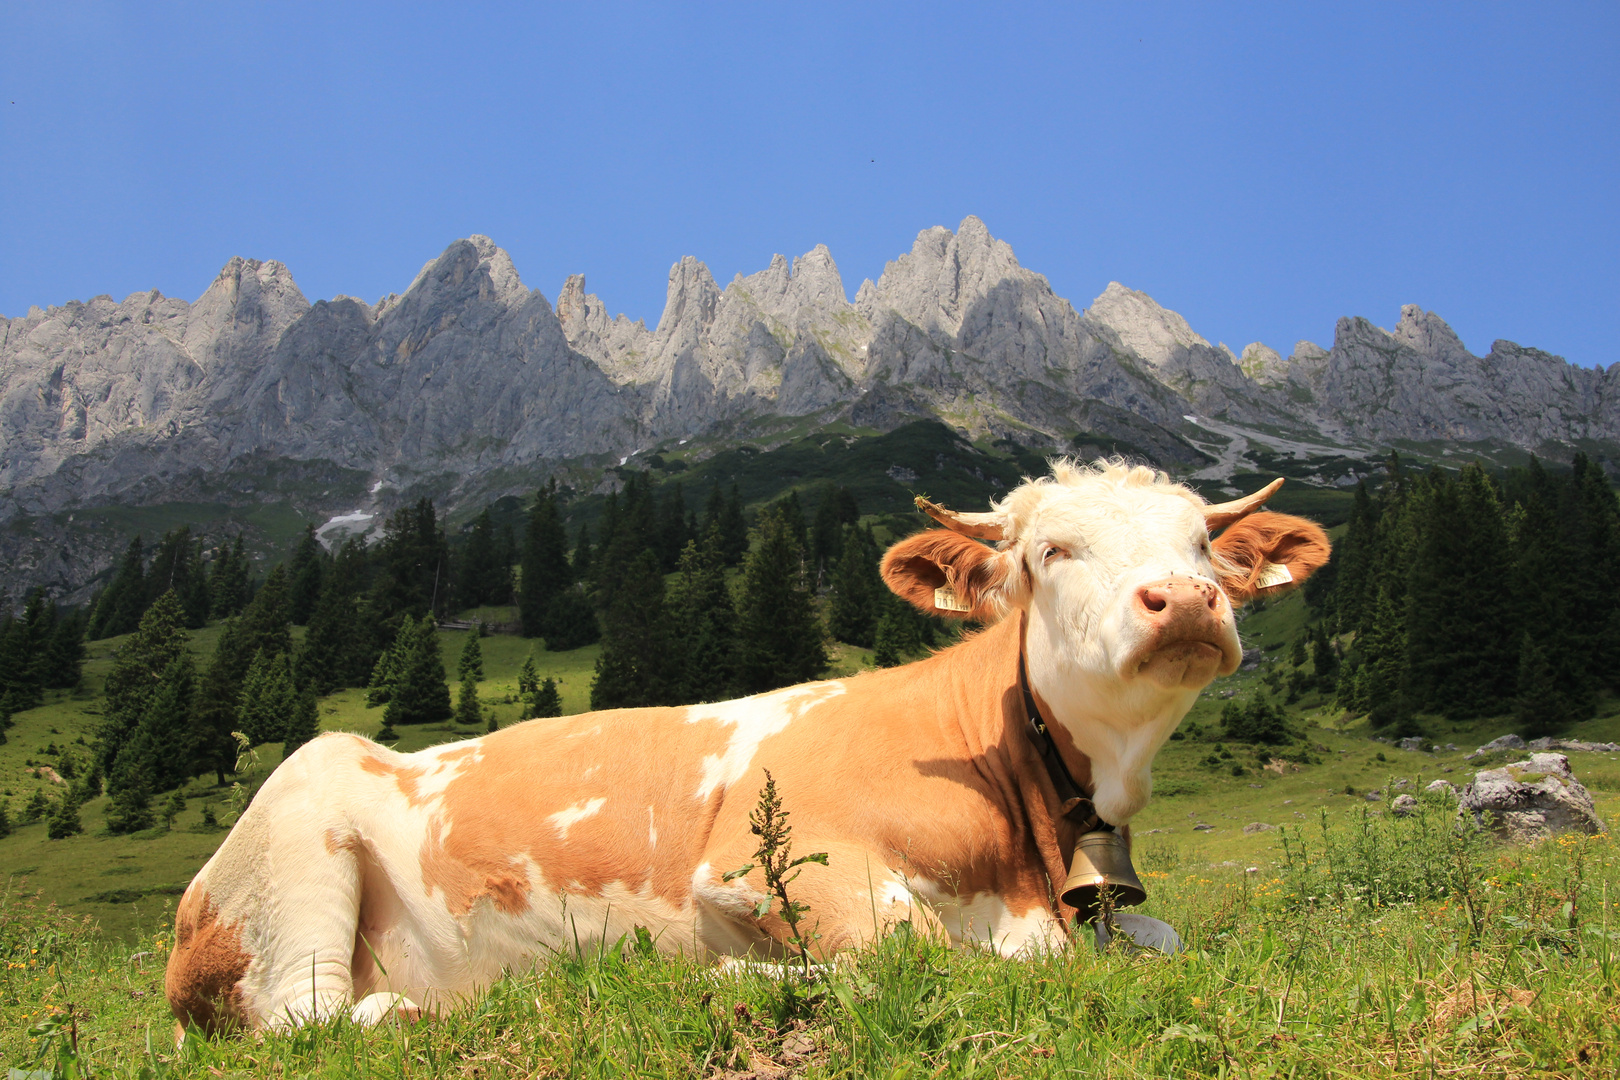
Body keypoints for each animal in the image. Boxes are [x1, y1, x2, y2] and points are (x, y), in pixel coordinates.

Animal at [164, 459, 1328, 1036]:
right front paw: (744, 976)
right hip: (300, 840)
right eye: (1052, 551)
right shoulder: (764, 867)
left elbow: (1161, 940)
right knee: (305, 1017)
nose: (1185, 601)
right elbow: (913, 946)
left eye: (1201, 544)